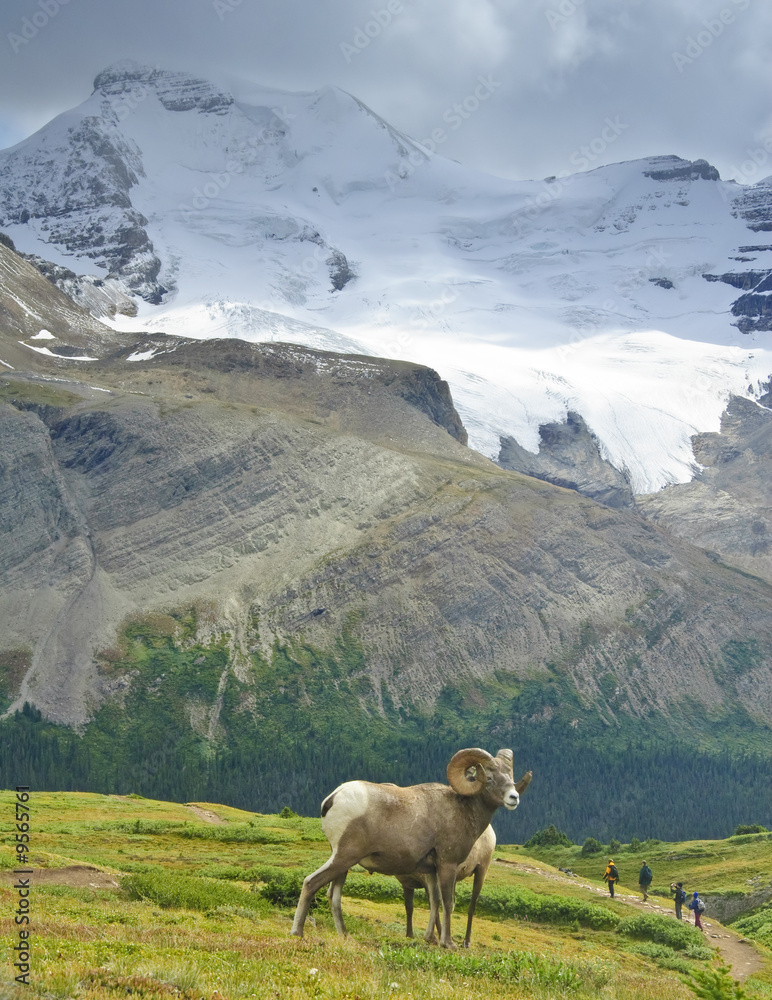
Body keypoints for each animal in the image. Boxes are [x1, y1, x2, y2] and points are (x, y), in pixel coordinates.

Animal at [290, 747, 532, 949]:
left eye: (510, 777)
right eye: (489, 777)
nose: (514, 798)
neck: (462, 810)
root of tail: (332, 799)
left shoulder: (431, 872)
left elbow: (435, 902)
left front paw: (431, 939)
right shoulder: (448, 865)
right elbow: (448, 902)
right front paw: (448, 944)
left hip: (344, 864)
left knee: (334, 895)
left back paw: (345, 936)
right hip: (343, 857)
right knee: (311, 882)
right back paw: (297, 933)